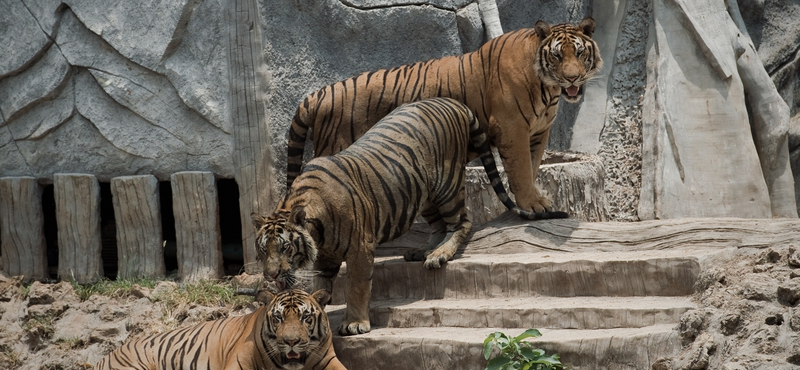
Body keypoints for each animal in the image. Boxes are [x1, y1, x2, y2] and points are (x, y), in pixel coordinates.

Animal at [250, 97, 564, 336]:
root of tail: (455, 102)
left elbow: (356, 286)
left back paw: (439, 255)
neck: (318, 233)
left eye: (285, 247)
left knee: (462, 222)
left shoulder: (360, 248)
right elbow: (322, 287)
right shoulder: (325, 258)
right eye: (263, 250)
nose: (270, 275)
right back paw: (424, 250)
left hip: (446, 185)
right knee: (438, 225)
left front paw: (355, 323)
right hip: (421, 194)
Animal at [286, 15, 600, 215]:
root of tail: (318, 94)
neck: (548, 88)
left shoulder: (538, 132)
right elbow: (521, 170)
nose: (572, 78)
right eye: (557, 56)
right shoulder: (513, 129)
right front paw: (531, 205)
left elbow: (533, 168)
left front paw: (536, 200)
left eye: (579, 53)